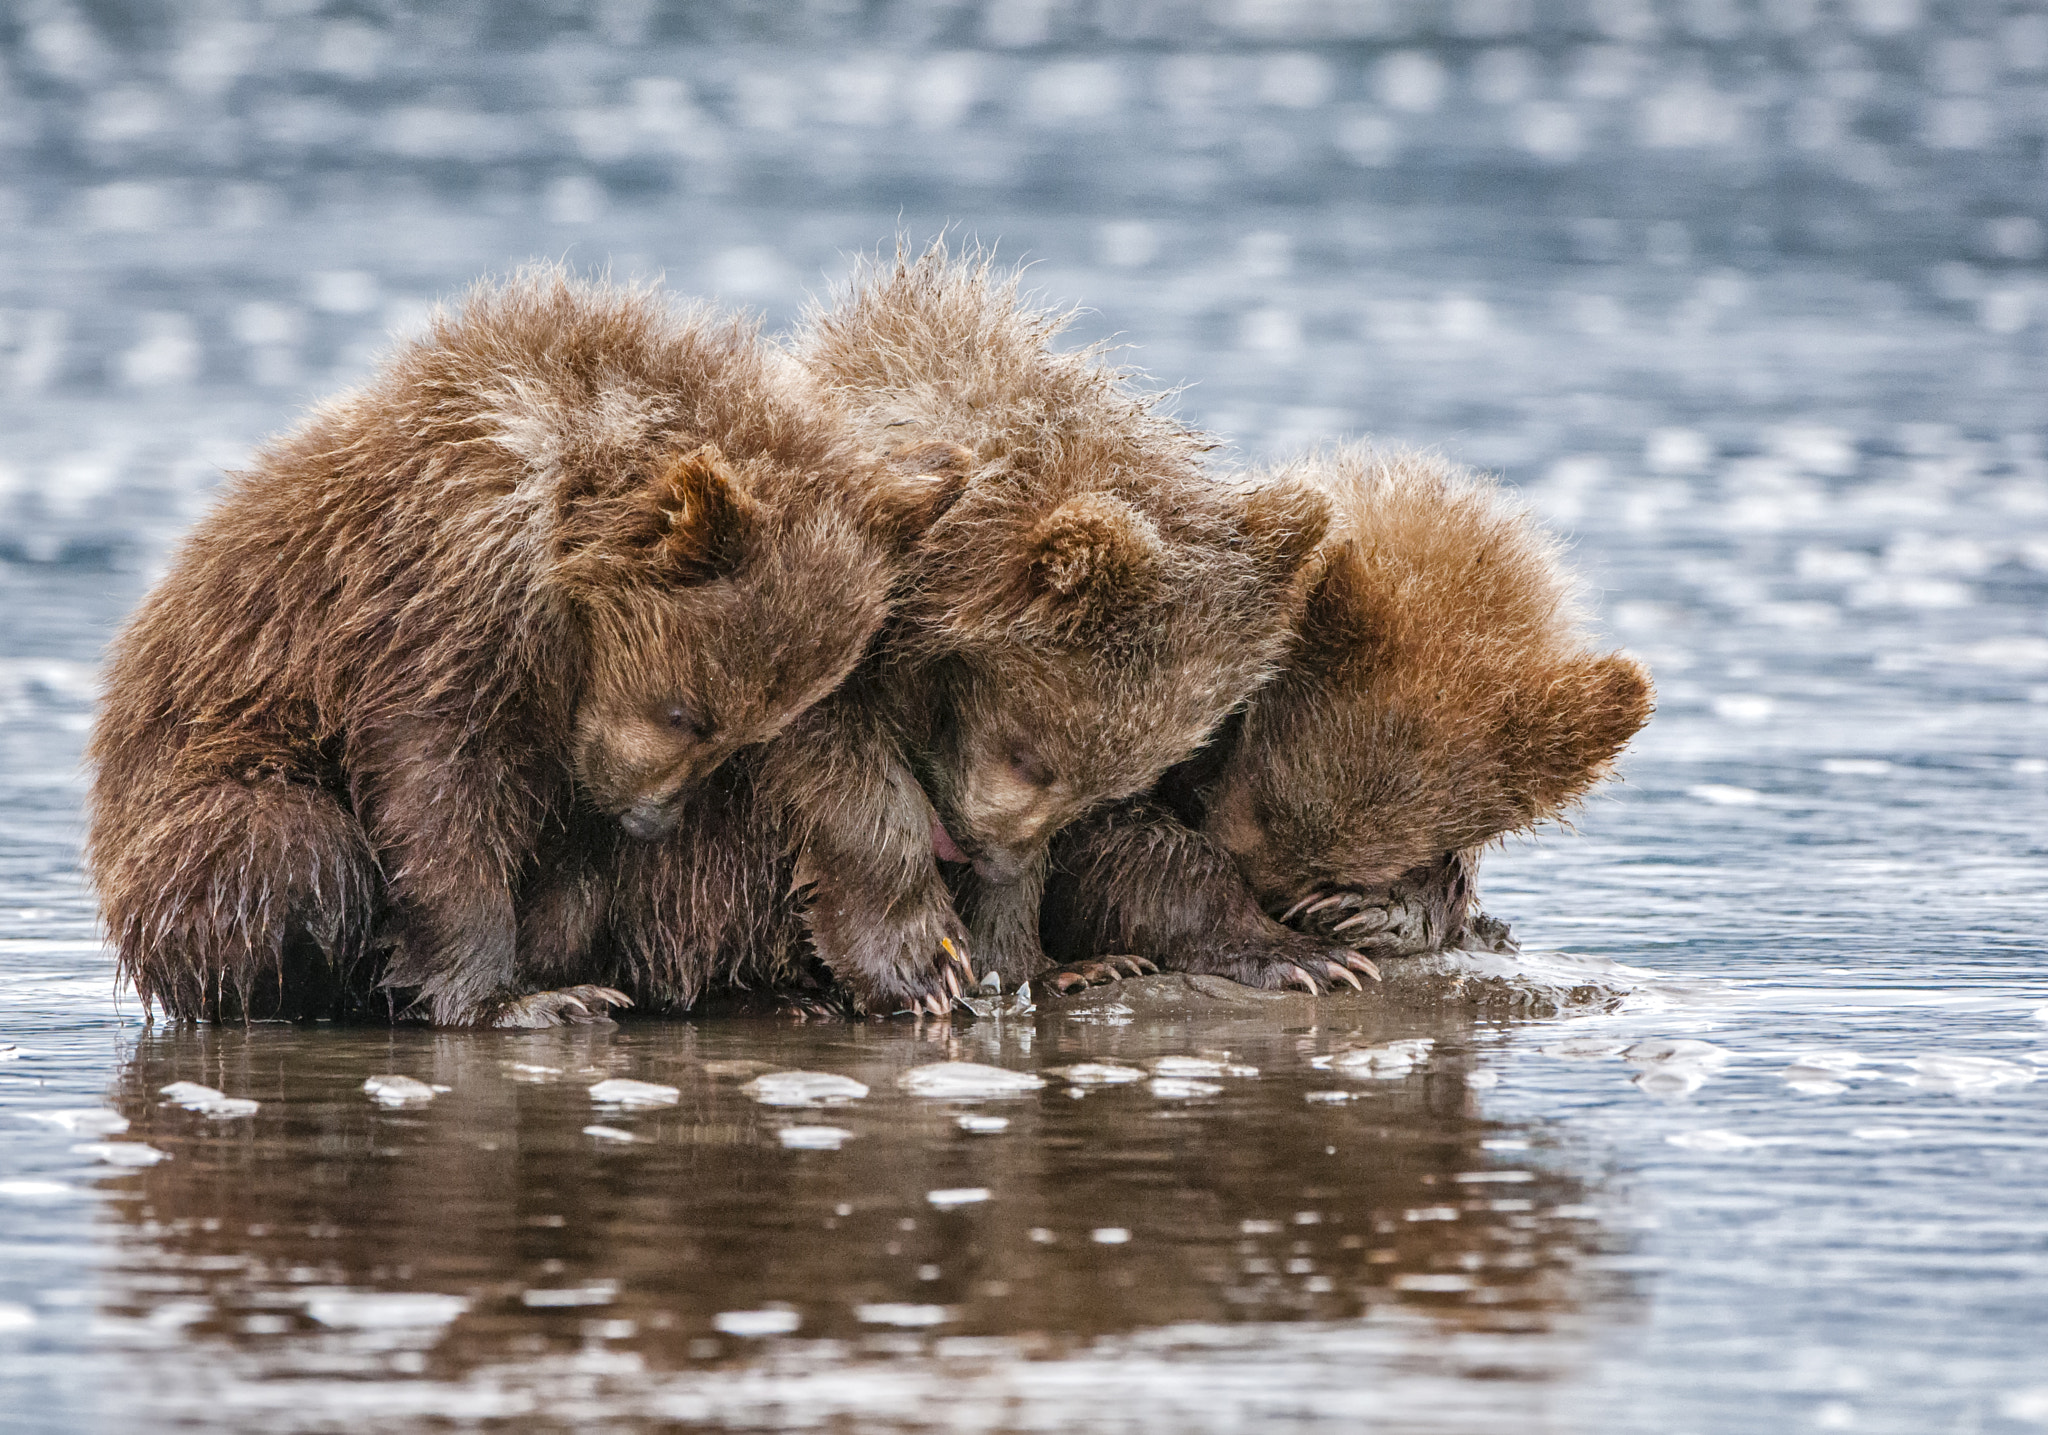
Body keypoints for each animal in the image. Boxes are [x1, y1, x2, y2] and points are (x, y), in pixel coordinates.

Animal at [87, 267, 955, 1027]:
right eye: (687, 714)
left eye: (740, 736)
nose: (649, 820)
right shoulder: (443, 592)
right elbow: (435, 786)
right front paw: (516, 998)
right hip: (186, 815)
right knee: (287, 845)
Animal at [675, 244, 1335, 1016]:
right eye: (1028, 758)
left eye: (1100, 787)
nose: (990, 859)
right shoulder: (805, 642)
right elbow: (841, 779)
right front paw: (923, 960)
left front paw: (1048, 963)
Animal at [1041, 444, 1655, 991]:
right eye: (1261, 805)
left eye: (1336, 868)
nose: (1274, 899)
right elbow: (1120, 845)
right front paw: (1299, 955)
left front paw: (1375, 910)